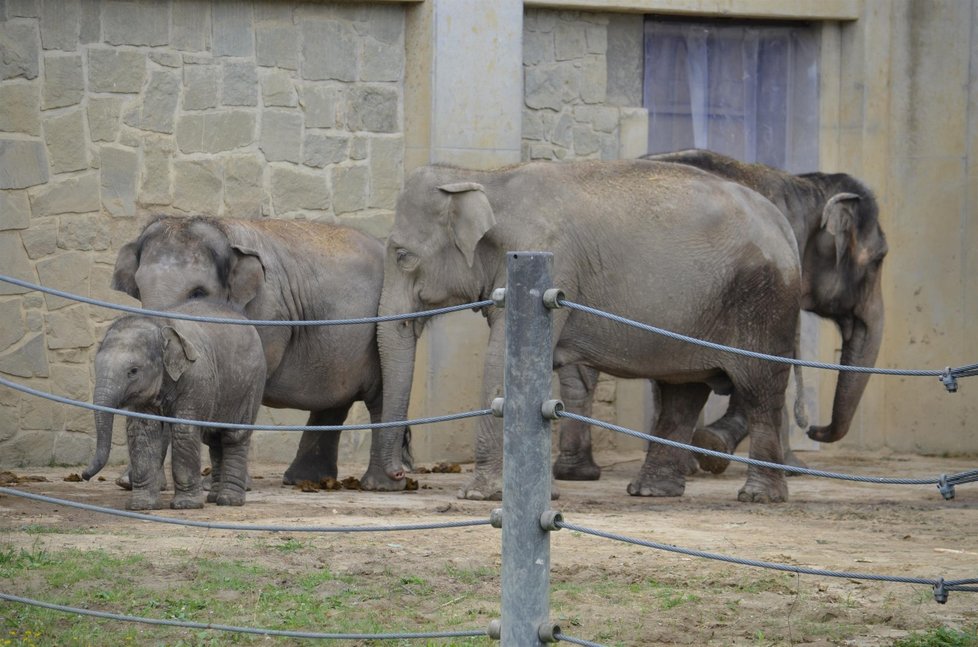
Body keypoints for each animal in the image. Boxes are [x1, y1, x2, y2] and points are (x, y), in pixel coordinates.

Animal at [83, 300, 266, 512]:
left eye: (133, 371)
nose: (84, 476)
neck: (160, 324)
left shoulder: (196, 378)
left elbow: (184, 431)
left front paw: (186, 505)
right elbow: (143, 431)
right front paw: (141, 506)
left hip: (251, 385)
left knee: (234, 437)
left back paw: (229, 501)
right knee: (214, 439)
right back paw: (214, 498)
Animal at [112, 216, 402, 492]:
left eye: (197, 293)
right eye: (139, 290)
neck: (223, 229)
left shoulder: (266, 314)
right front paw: (129, 483)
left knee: (379, 396)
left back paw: (377, 485)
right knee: (334, 401)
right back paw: (304, 480)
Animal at [374, 159, 800, 504]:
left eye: (402, 256)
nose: (401, 474)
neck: (486, 177)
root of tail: (782, 224)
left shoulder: (548, 264)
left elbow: (503, 358)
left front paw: (483, 496)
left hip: (762, 303)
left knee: (760, 391)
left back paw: (758, 497)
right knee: (683, 391)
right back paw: (651, 491)